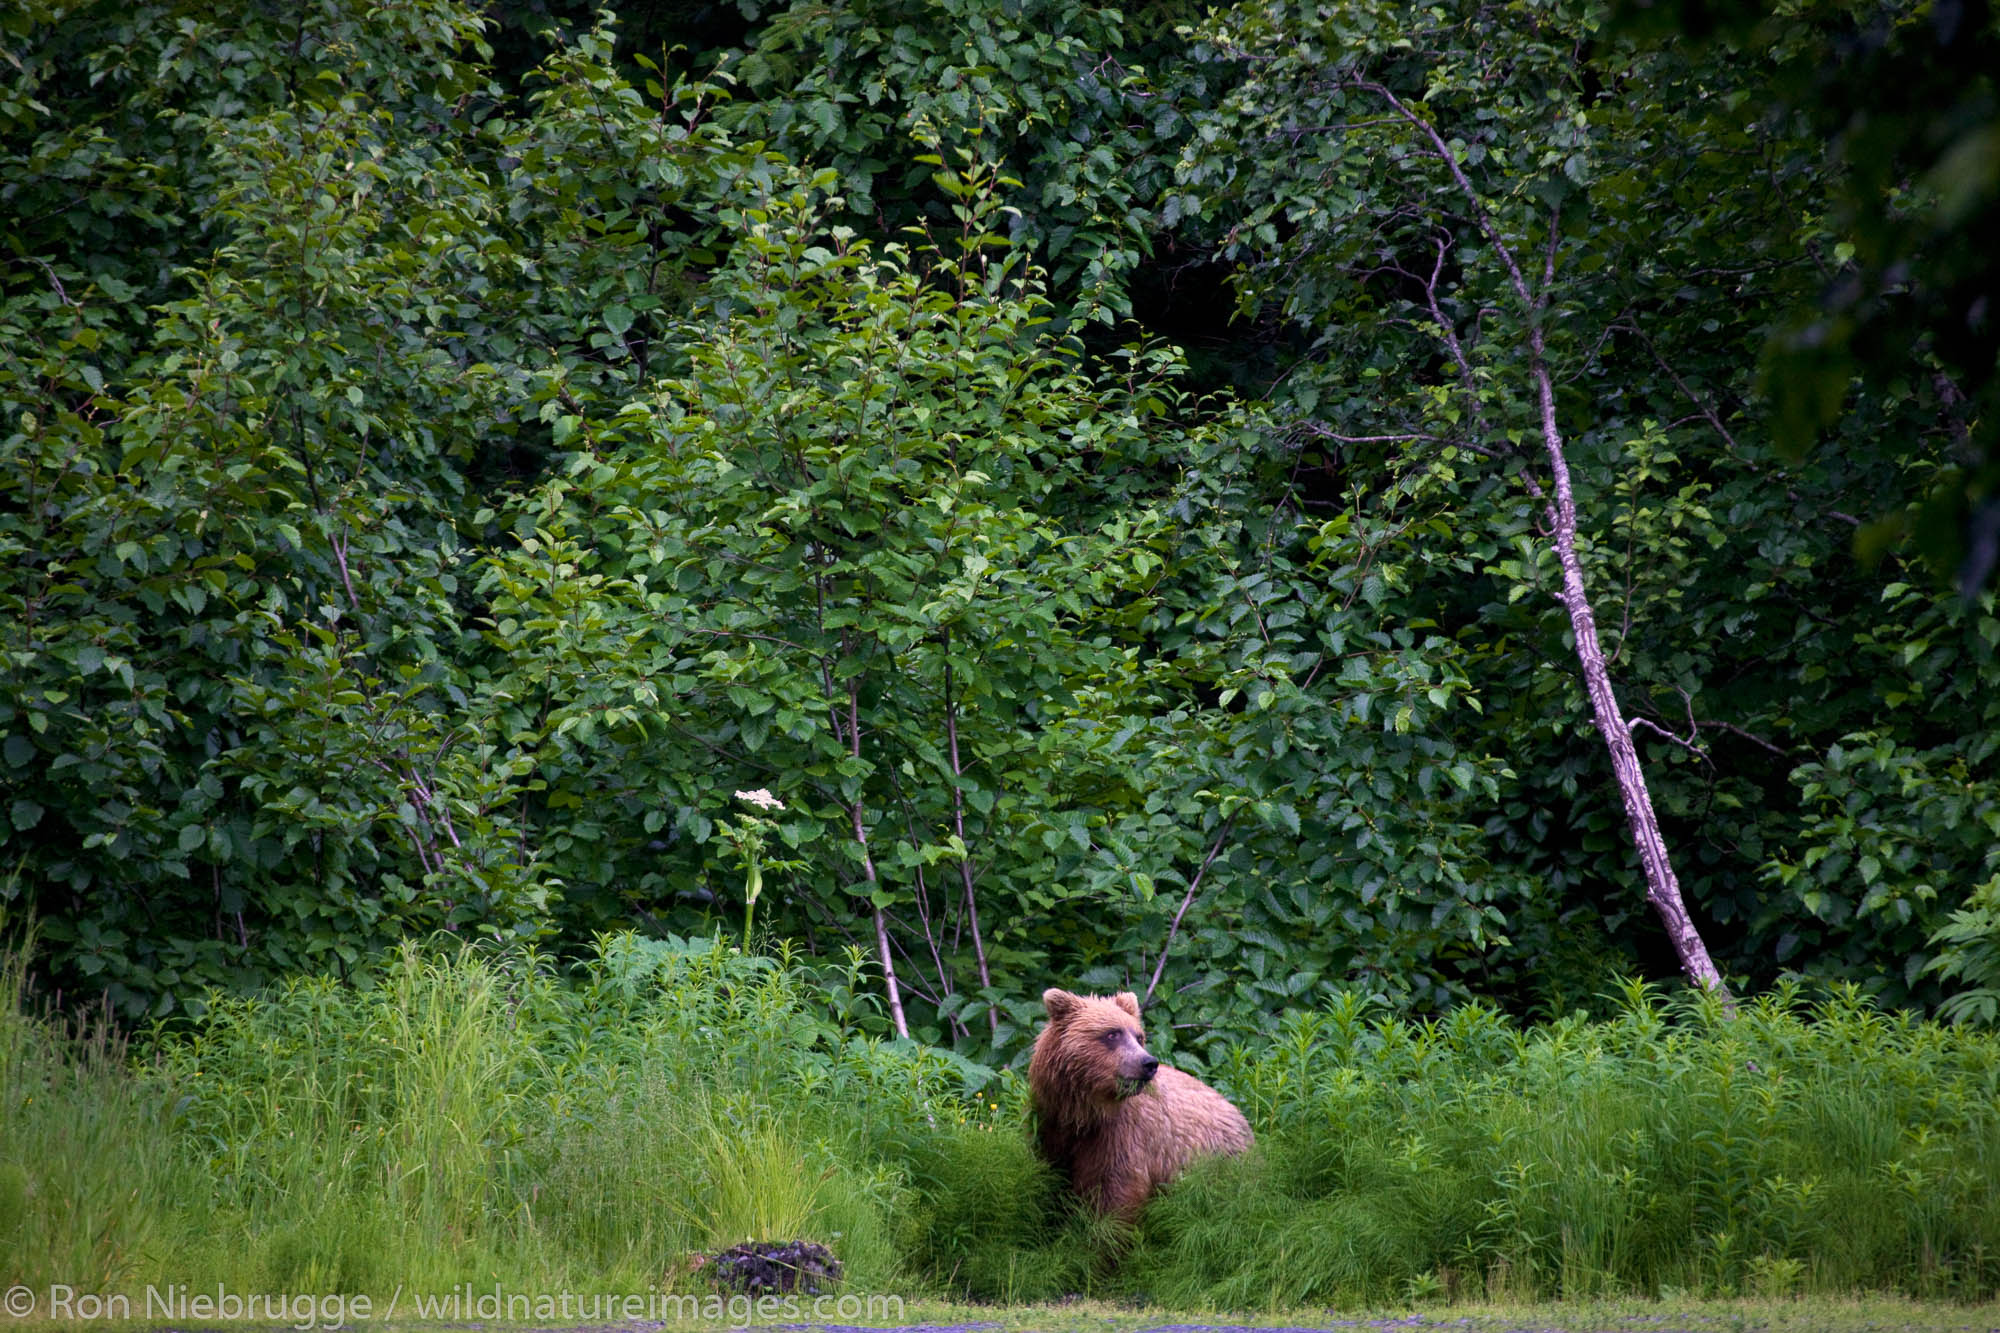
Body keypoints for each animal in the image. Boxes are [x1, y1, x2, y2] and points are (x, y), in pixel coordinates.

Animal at [1032, 980, 1248, 1216]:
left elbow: (1117, 1192)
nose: (1149, 1063)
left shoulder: (1122, 1139)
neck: (1084, 1114)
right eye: (1112, 1034)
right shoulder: (1050, 1127)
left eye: (1139, 1037)